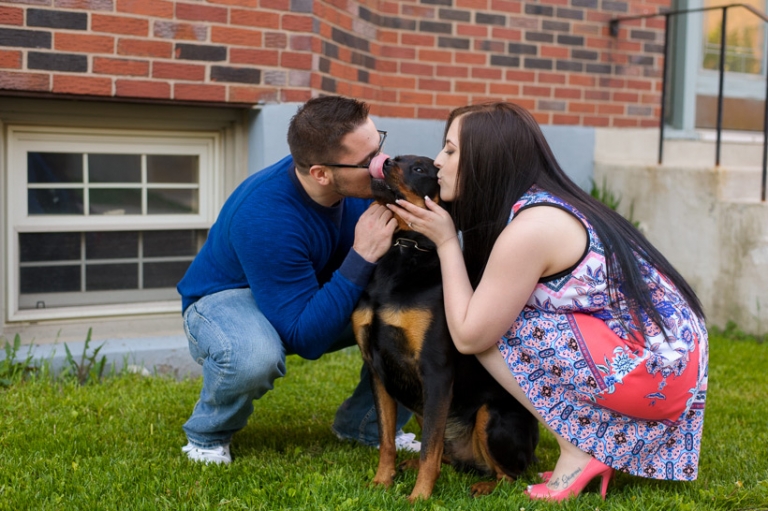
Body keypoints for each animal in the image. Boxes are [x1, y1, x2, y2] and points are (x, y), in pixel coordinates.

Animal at [352, 154, 536, 502]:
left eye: (420, 169)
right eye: (399, 158)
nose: (387, 161)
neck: (404, 248)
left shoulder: (436, 371)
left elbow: (429, 449)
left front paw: (419, 497)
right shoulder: (377, 369)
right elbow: (386, 440)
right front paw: (382, 482)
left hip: (490, 415)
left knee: (513, 476)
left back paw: (485, 486)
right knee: (449, 456)